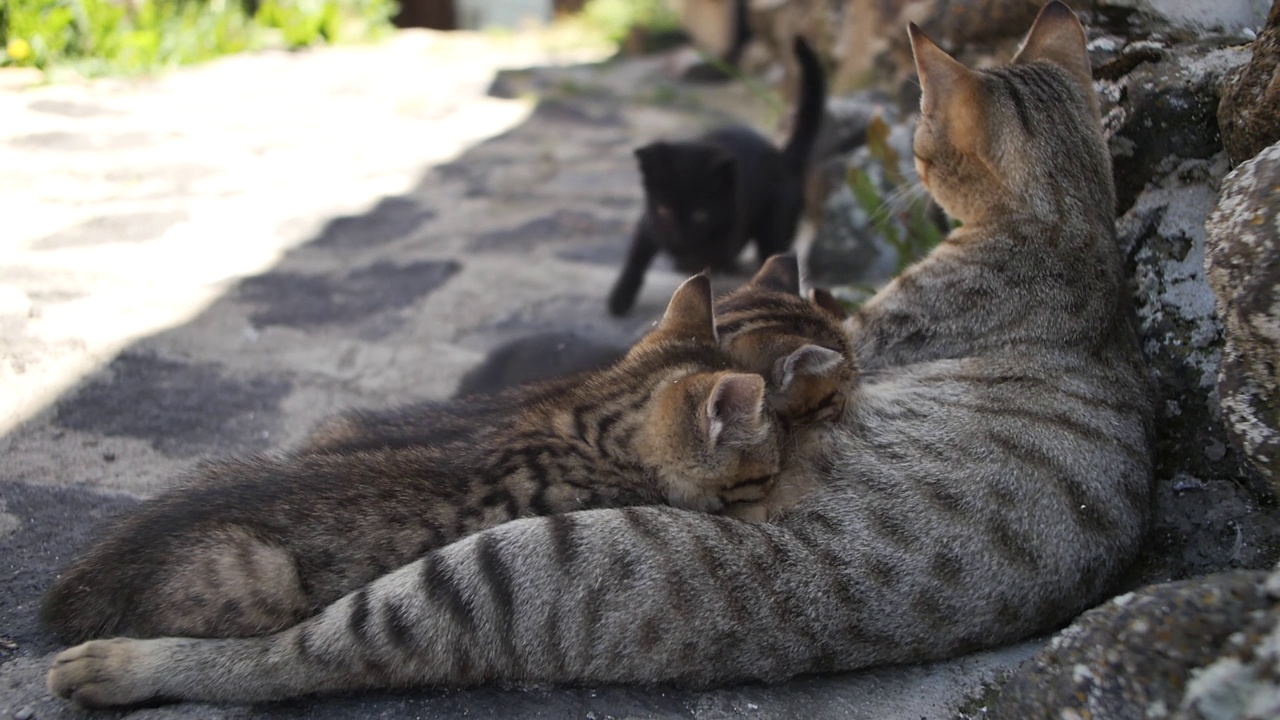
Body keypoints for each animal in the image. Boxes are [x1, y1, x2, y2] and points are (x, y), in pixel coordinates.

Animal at [604, 34, 824, 313]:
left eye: (700, 215)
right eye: (665, 210)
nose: (679, 236)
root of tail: (782, 158)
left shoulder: (719, 240)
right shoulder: (650, 223)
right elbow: (637, 255)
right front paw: (620, 297)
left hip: (775, 225)